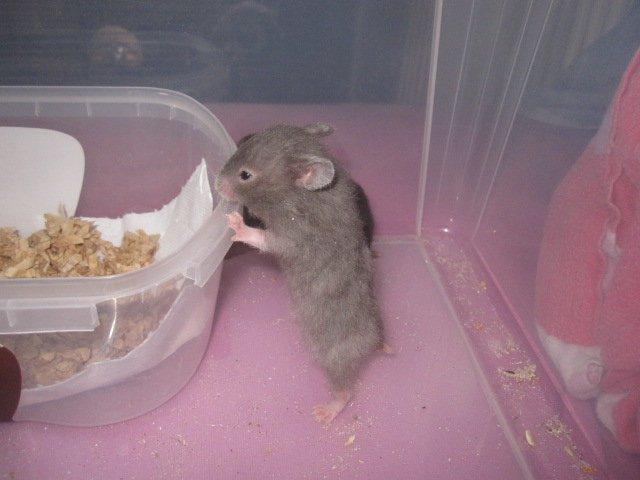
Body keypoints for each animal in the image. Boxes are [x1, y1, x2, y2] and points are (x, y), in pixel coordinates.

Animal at [215, 123, 386, 424]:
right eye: (245, 139)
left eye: (245, 175)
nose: (215, 181)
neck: (298, 195)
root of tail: (373, 341)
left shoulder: (294, 236)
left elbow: (263, 238)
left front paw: (234, 222)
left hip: (331, 354)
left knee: (345, 389)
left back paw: (325, 413)